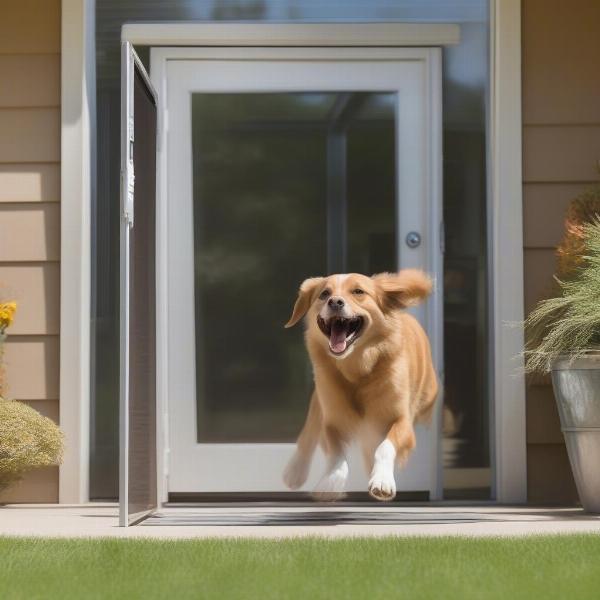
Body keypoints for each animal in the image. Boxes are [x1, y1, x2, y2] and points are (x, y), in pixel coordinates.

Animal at [282, 270, 436, 500]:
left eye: (358, 291)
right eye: (324, 293)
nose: (335, 301)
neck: (356, 367)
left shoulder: (402, 421)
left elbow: (384, 447)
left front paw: (382, 480)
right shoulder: (332, 420)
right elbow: (336, 455)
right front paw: (331, 482)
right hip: (320, 402)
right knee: (309, 431)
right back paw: (295, 470)